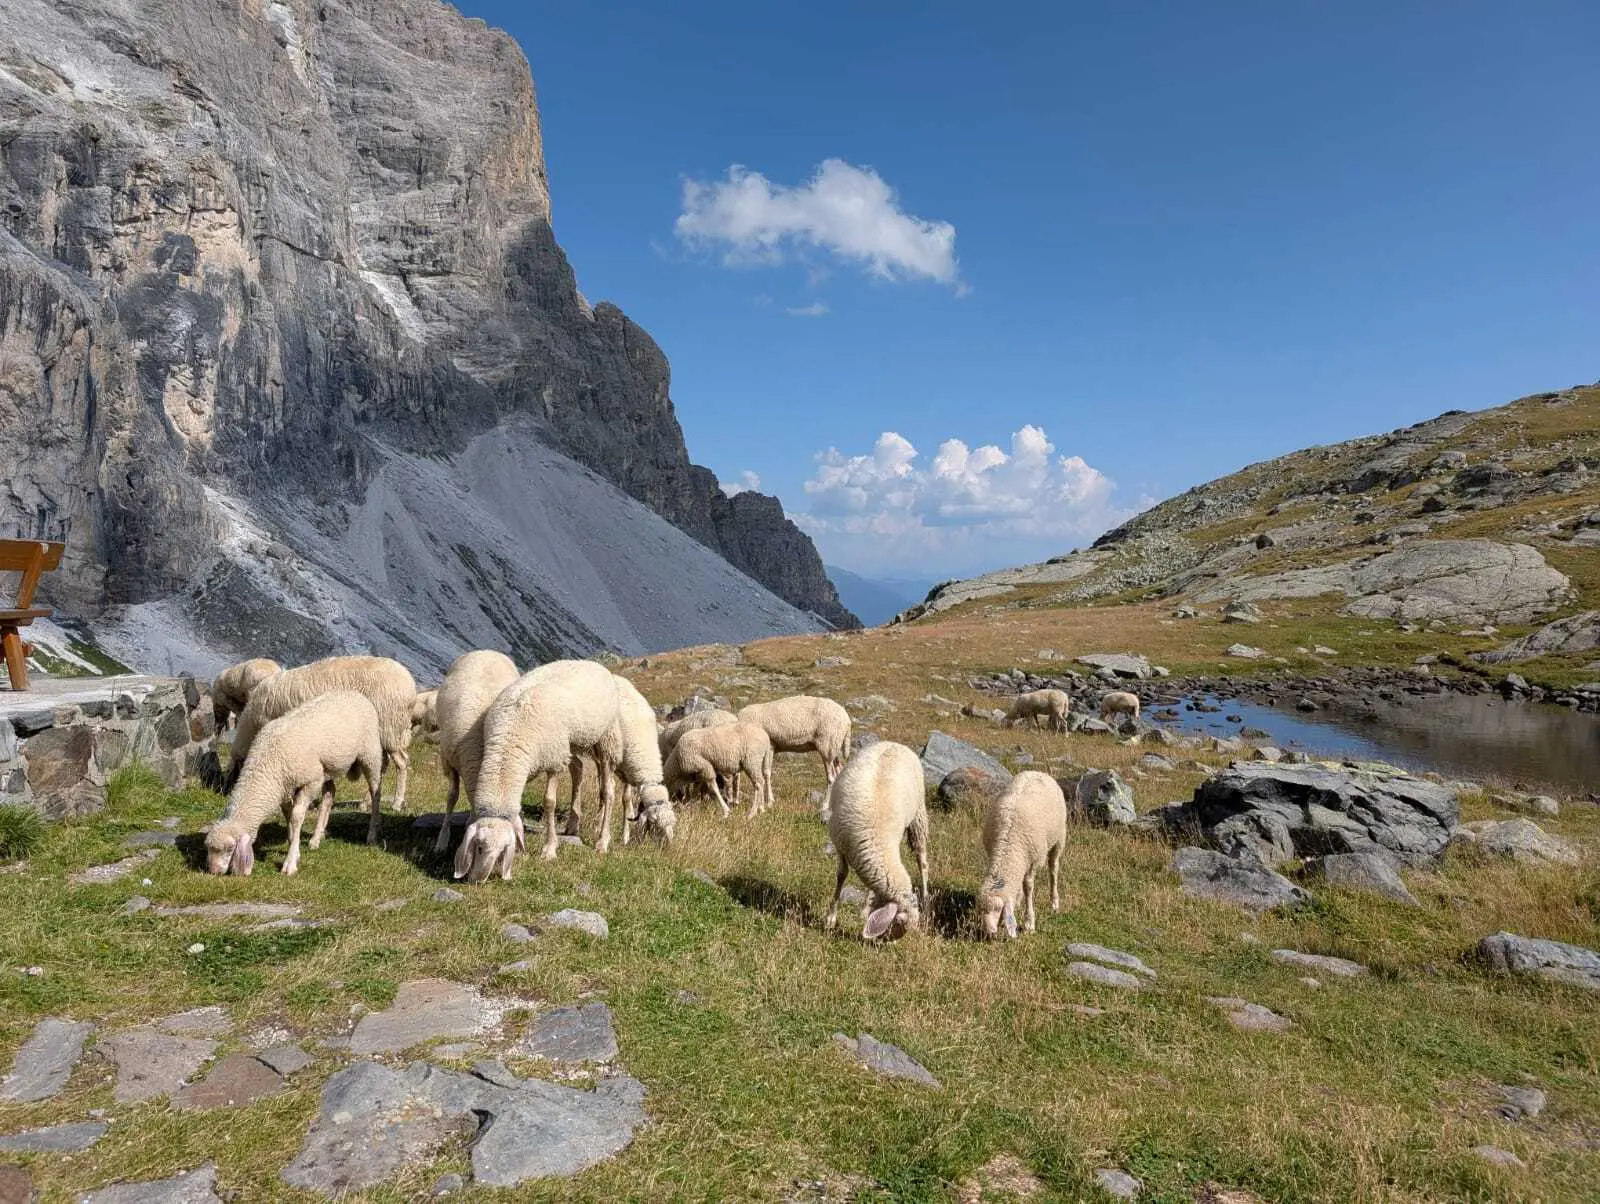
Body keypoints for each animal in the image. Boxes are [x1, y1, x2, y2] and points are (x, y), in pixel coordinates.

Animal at [204, 691, 383, 877]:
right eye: (209, 849)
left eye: (229, 848)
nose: (213, 871)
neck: (267, 764)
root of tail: (354, 693)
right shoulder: (284, 788)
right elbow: (288, 815)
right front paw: (293, 847)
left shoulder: (311, 781)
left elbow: (296, 817)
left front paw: (290, 862)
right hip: (326, 767)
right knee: (329, 795)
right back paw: (316, 838)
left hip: (370, 754)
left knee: (375, 792)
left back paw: (372, 834)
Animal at [226, 655, 417, 811]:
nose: (225, 791)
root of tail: (410, 686)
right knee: (383, 765)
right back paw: (365, 803)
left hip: (390, 728)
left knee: (401, 762)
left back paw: (397, 802)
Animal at [457, 659, 625, 882]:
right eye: (478, 847)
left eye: (502, 850)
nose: (477, 879)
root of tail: (594, 663)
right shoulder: (530, 765)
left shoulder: (554, 759)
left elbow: (549, 802)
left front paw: (549, 849)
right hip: (570, 742)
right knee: (578, 769)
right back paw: (573, 824)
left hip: (605, 737)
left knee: (608, 789)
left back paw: (602, 841)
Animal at [823, 740, 930, 940]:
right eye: (899, 921)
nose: (889, 942)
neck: (875, 839)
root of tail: (895, 743)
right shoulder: (840, 844)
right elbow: (841, 875)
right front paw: (830, 918)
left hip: (918, 812)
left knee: (922, 860)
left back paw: (926, 897)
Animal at [978, 771, 1067, 939]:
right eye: (981, 910)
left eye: (998, 909)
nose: (990, 933)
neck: (1007, 846)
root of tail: (1039, 772)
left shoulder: (1032, 860)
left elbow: (1028, 887)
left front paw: (1029, 923)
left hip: (1059, 839)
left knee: (1053, 870)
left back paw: (1054, 903)